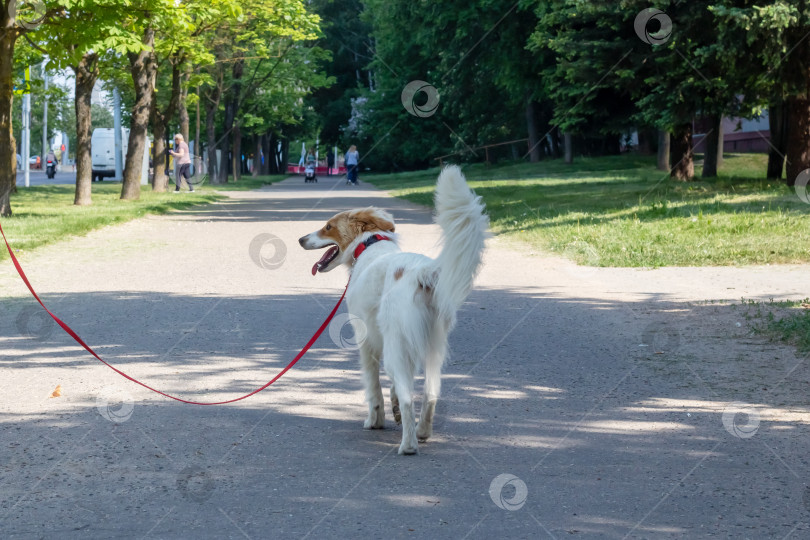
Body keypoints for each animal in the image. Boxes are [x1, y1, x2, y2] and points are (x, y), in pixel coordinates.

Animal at [296, 167, 486, 454]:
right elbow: (395, 384)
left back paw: (408, 445)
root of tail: (424, 272)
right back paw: (422, 431)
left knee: (410, 398)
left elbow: (374, 387)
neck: (370, 245)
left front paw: (375, 420)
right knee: (431, 393)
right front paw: (393, 411)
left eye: (328, 226)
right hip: (433, 347)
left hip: (396, 342)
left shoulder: (368, 340)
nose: (300, 239)